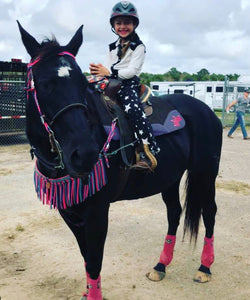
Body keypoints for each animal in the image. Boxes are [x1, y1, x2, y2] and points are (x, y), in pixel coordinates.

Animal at [18, 21, 223, 300]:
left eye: (82, 84)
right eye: (42, 83)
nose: (85, 154)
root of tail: (206, 111)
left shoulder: (97, 211)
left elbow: (94, 261)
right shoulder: (69, 211)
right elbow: (86, 258)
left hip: (205, 172)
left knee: (209, 212)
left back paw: (204, 267)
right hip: (170, 178)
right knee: (174, 212)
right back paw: (160, 266)